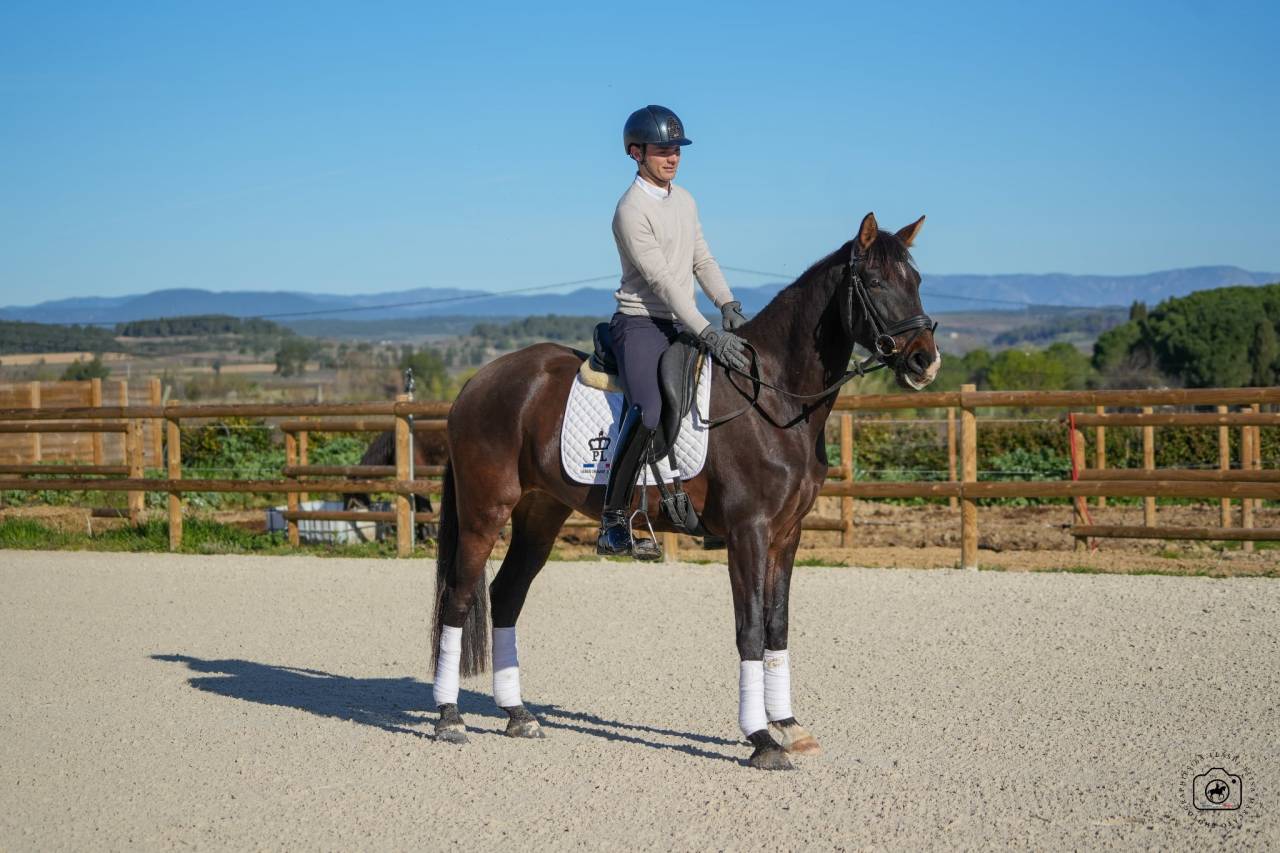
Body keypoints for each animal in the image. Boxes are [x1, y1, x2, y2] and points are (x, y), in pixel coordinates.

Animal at [430, 212, 940, 769]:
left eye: (916, 281)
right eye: (874, 282)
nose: (926, 362)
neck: (774, 399)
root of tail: (477, 382)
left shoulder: (787, 534)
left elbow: (777, 624)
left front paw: (789, 727)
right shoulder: (748, 532)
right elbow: (750, 629)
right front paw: (761, 739)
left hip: (539, 514)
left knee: (506, 596)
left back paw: (518, 715)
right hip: (485, 511)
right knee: (459, 597)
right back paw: (449, 719)